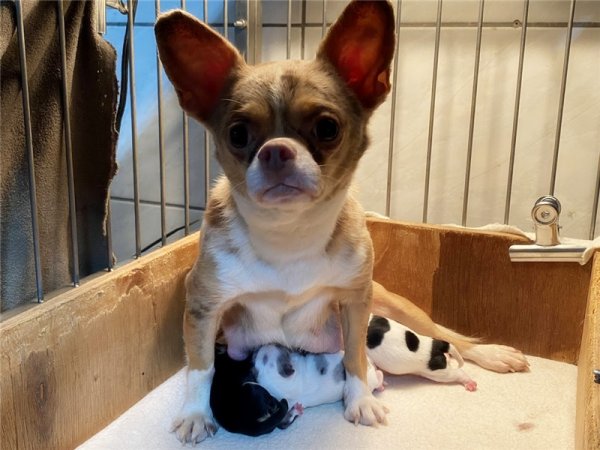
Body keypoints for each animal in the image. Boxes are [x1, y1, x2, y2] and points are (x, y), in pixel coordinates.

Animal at [155, 1, 528, 444]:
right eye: (238, 134)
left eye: (327, 128)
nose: (276, 151)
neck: (290, 236)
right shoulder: (203, 307)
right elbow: (201, 367)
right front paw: (196, 413)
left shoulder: (354, 301)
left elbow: (354, 358)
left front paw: (360, 400)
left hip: (390, 301)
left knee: (449, 334)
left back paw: (491, 353)